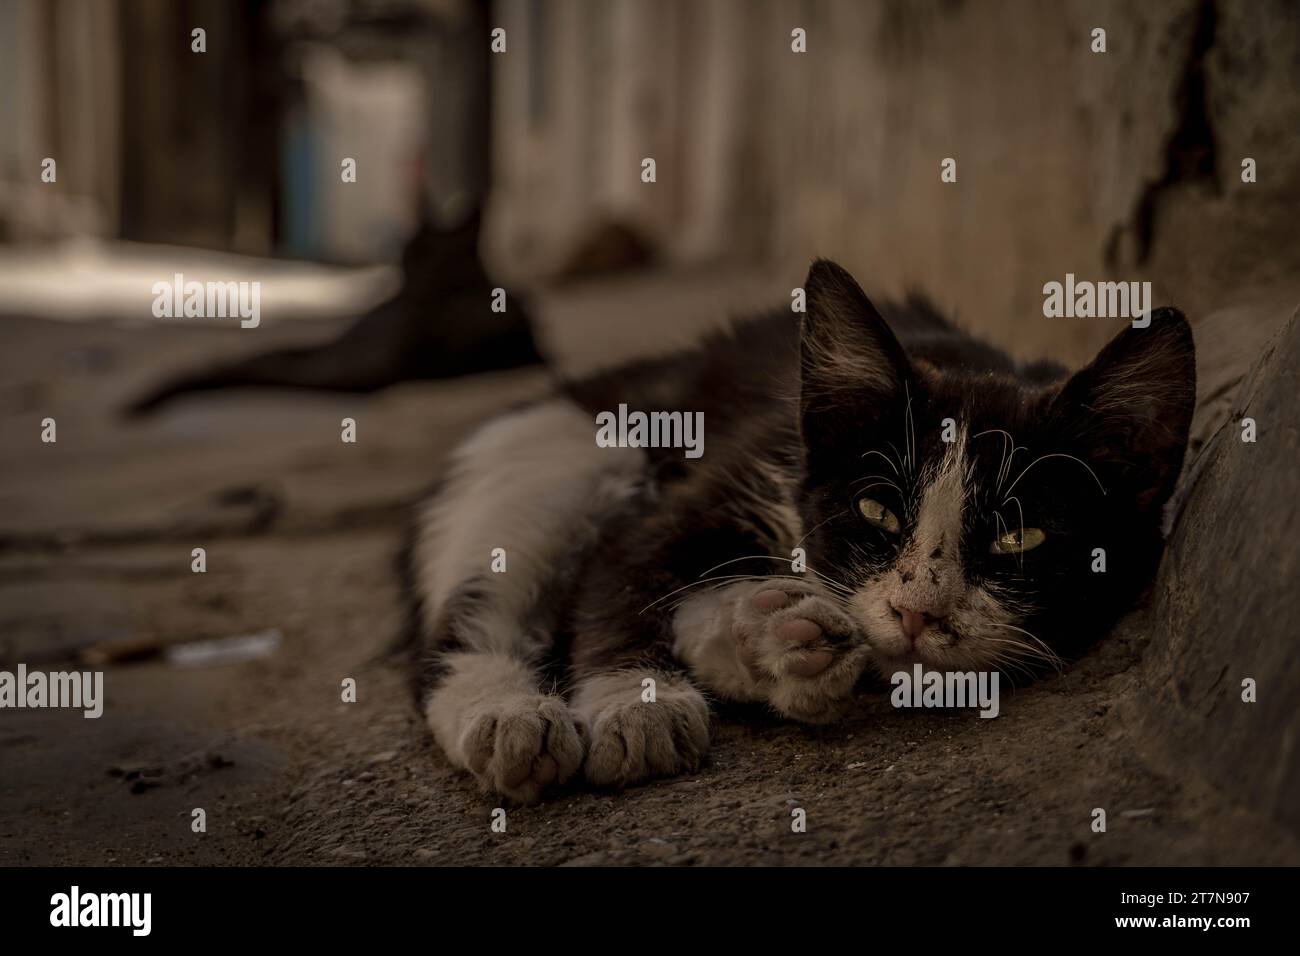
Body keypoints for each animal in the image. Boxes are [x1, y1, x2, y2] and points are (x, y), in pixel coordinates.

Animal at [403, 257, 1190, 806]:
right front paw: (637, 708)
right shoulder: (731, 465)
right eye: (878, 513)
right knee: (471, 614)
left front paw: (770, 644)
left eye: (1019, 540)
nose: (915, 613)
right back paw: (506, 715)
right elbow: (622, 575)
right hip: (554, 452)